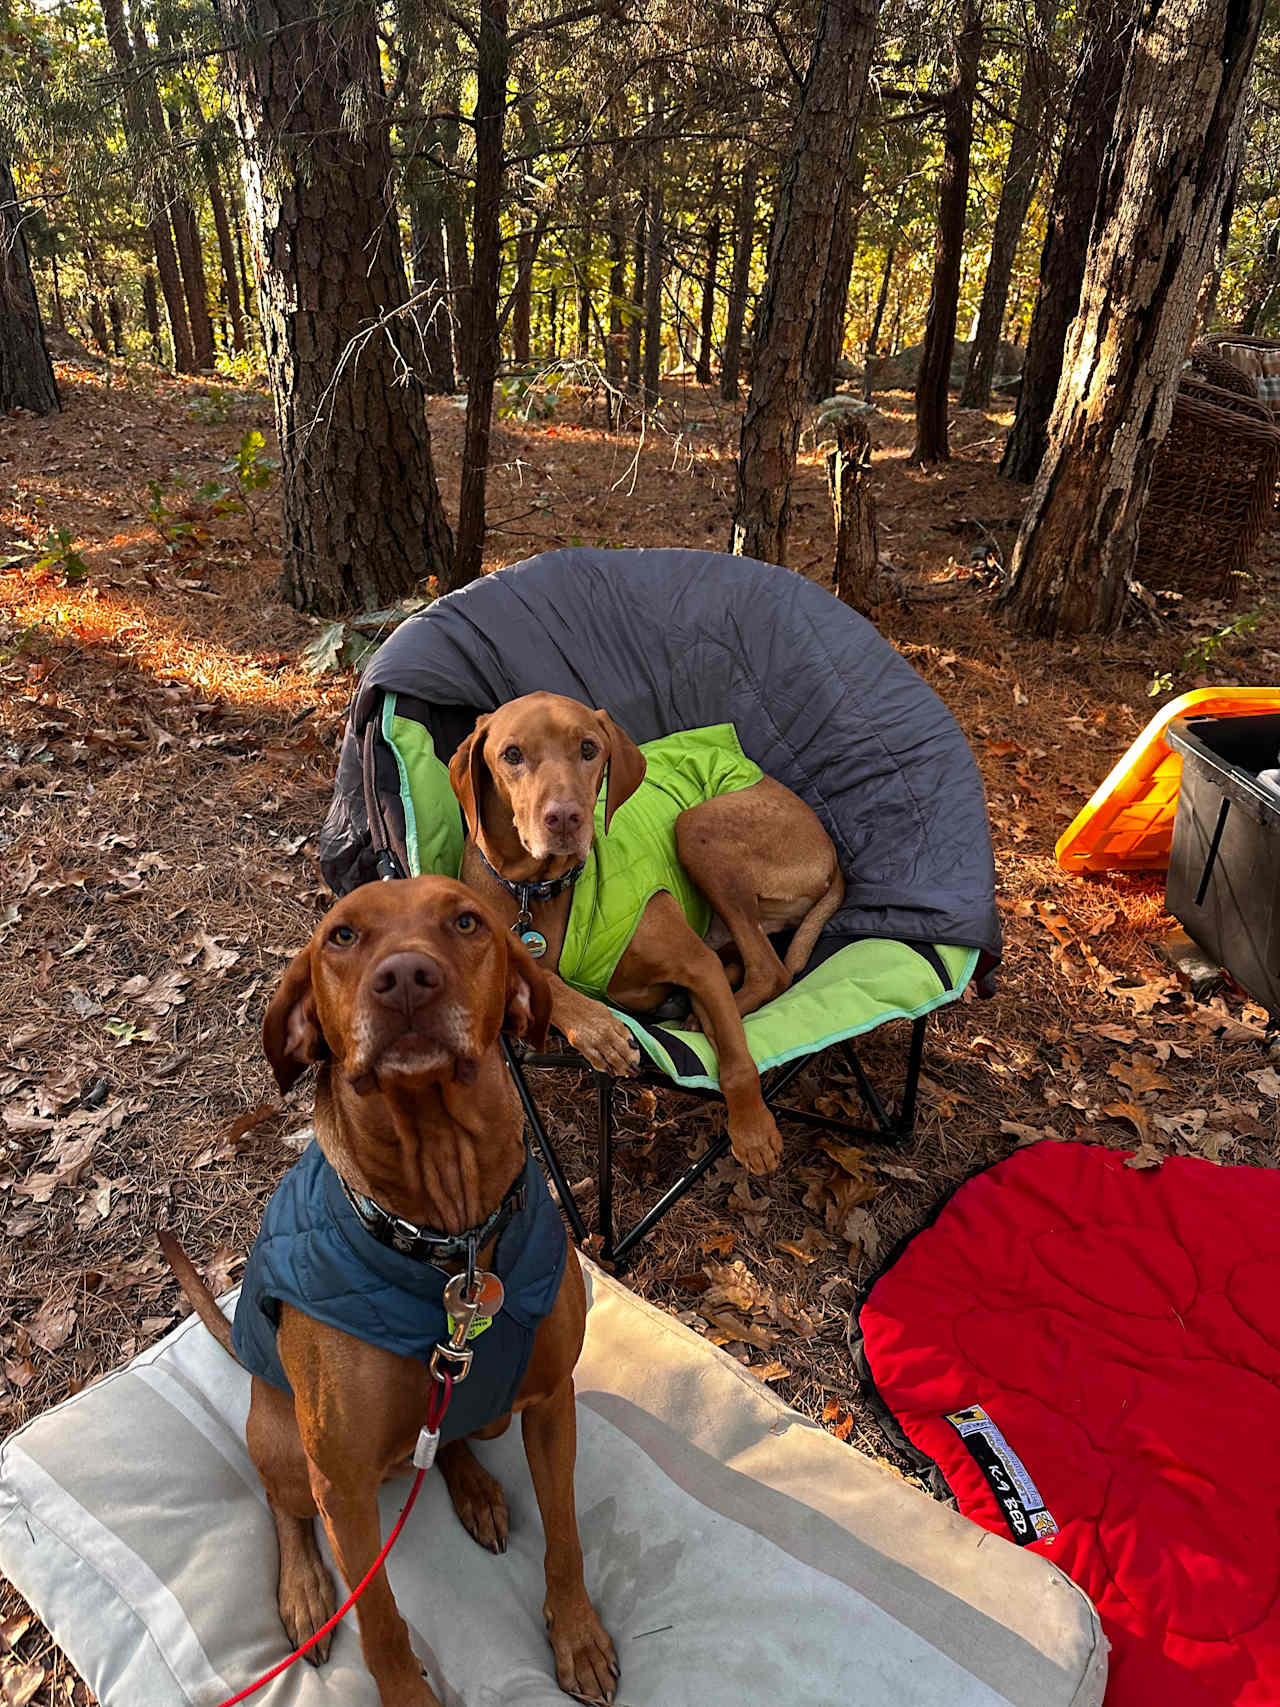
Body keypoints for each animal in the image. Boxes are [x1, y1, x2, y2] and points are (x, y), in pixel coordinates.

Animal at [160, 880, 621, 1707]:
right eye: (341, 936)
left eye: (467, 919)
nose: (406, 978)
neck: (449, 1236)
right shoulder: (341, 1484)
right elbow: (378, 1614)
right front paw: (403, 1685)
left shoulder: (549, 1404)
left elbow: (565, 1535)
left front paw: (577, 1636)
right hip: (284, 1440)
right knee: (283, 1505)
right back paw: (307, 1589)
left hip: (486, 1417)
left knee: (450, 1438)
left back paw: (474, 1488)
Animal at [447, 693, 846, 1174]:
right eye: (512, 755)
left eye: (588, 749)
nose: (564, 818)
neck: (537, 889)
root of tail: (831, 854)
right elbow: (543, 977)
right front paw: (598, 1027)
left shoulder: (697, 963)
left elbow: (736, 1060)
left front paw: (752, 1129)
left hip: (696, 828)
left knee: (769, 971)